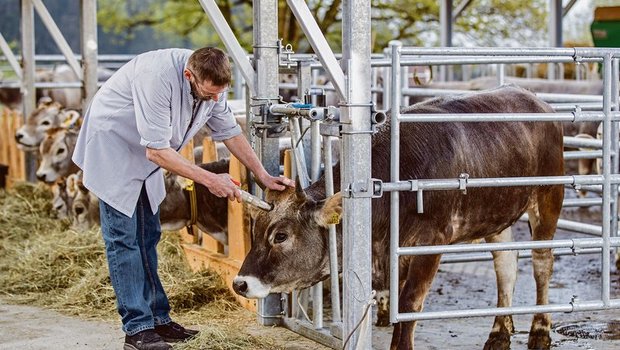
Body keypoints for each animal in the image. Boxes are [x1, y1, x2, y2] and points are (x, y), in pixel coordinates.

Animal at [234, 85, 568, 350]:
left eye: (280, 236)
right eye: (255, 230)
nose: (240, 284)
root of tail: (534, 99)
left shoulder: (430, 242)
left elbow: (409, 302)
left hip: (549, 198)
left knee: (542, 263)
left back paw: (540, 331)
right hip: (498, 214)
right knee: (505, 266)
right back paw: (499, 334)